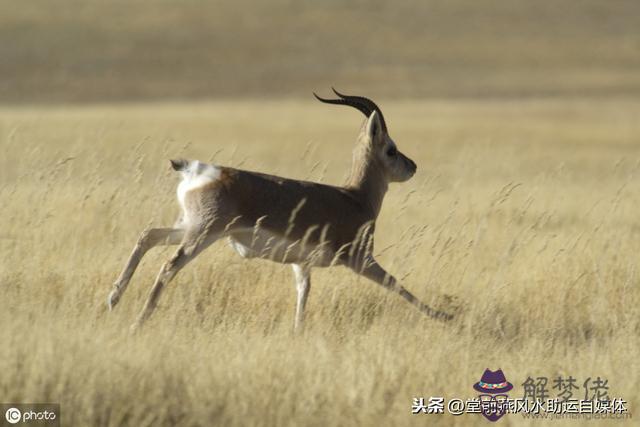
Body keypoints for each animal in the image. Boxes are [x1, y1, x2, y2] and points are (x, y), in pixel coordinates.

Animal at [107, 89, 452, 332]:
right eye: (391, 149)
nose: (412, 166)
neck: (355, 197)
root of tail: (198, 170)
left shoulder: (301, 264)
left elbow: (303, 295)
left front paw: (297, 332)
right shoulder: (360, 259)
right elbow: (397, 285)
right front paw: (445, 316)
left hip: (189, 226)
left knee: (148, 235)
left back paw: (113, 298)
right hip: (203, 234)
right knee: (168, 265)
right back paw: (138, 322)